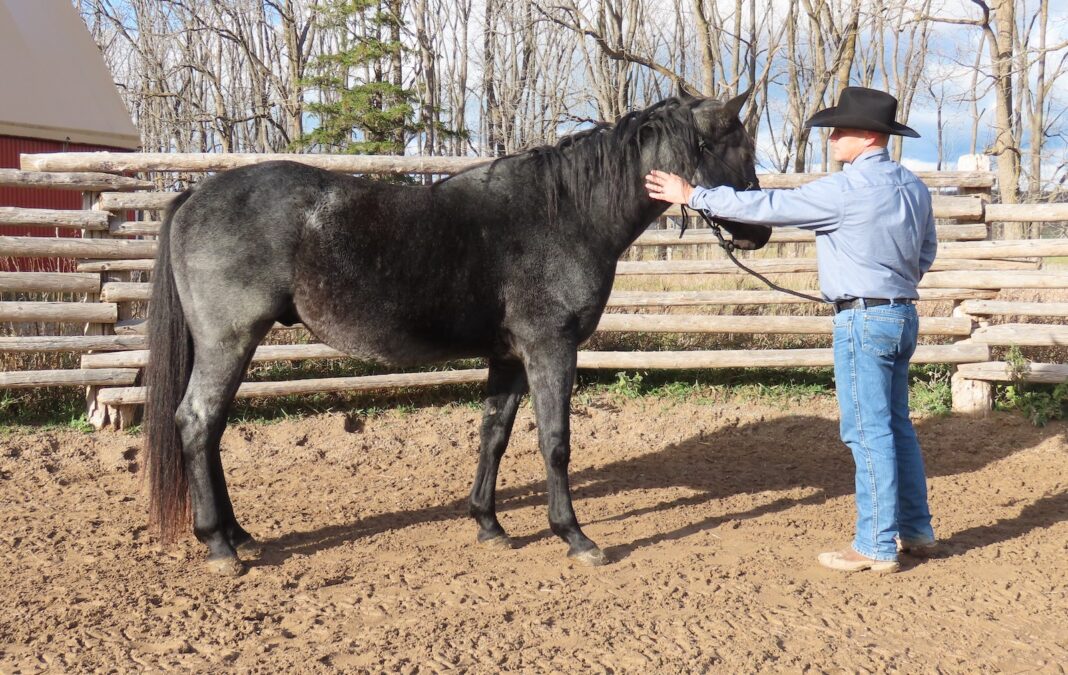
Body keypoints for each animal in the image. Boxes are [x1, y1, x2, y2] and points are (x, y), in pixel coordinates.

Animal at [143, 91, 771, 576]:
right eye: (739, 148)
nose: (760, 233)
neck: (565, 215)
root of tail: (194, 195)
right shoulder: (551, 347)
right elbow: (555, 442)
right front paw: (574, 536)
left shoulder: (510, 356)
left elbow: (494, 434)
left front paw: (489, 524)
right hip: (229, 341)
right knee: (197, 422)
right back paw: (220, 545)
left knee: (212, 429)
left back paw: (239, 534)